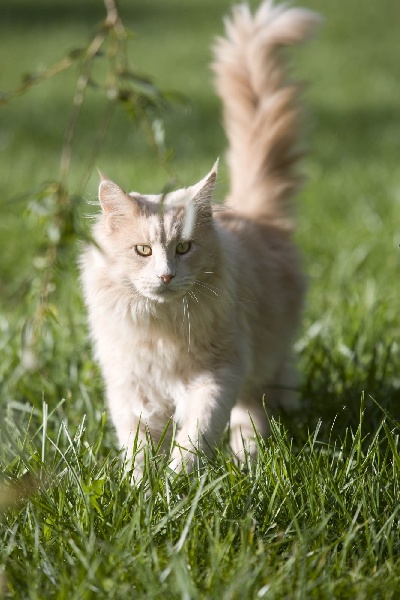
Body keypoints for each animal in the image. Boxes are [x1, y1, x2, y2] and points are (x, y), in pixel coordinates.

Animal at [80, 2, 318, 476]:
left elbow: (196, 434)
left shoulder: (217, 373)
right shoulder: (130, 388)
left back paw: (248, 459)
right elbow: (137, 447)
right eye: (143, 250)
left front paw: (177, 483)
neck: (161, 327)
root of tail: (254, 215)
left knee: (256, 409)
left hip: (262, 364)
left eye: (184, 248)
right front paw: (140, 487)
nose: (166, 276)